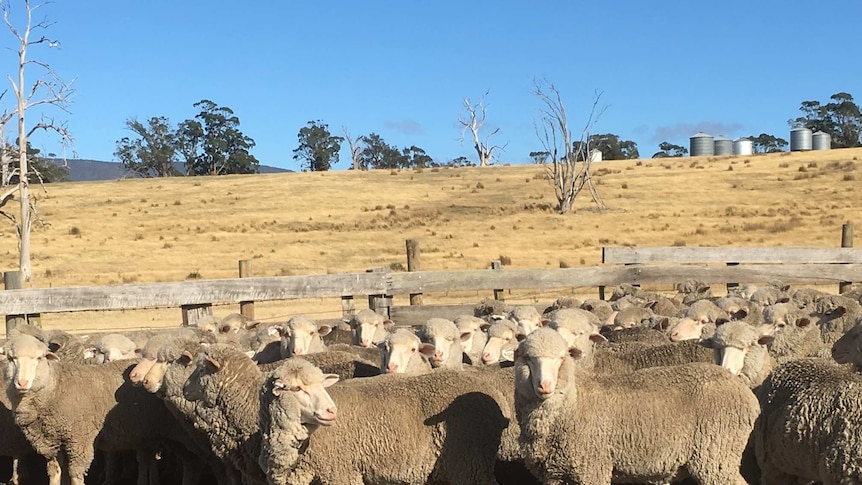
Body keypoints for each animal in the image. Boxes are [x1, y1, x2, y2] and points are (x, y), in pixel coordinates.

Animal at [260, 358, 510, 482]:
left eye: (322, 385)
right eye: (297, 389)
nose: (331, 411)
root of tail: (496, 396)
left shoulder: (341, 471)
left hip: (469, 461)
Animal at [516, 326, 760, 484]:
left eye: (560, 358)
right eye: (527, 358)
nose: (545, 385)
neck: (574, 402)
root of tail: (745, 392)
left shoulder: (592, 468)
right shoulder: (553, 474)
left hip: (716, 453)